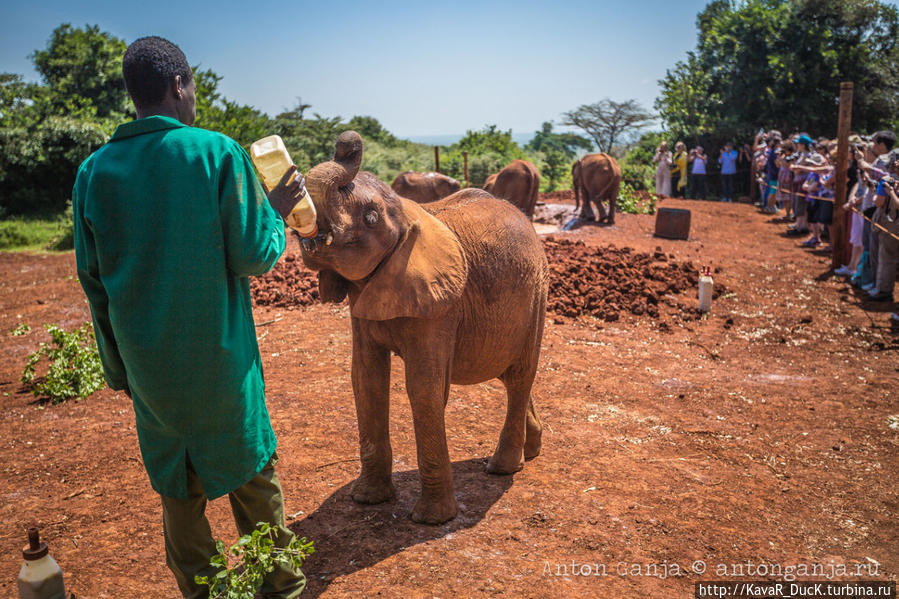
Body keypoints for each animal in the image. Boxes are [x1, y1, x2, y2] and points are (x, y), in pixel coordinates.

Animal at [300, 132, 548, 524]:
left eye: (370, 217)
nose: (347, 142)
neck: (406, 212)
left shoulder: (441, 308)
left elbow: (424, 387)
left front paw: (432, 520)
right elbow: (366, 378)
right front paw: (367, 500)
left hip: (536, 294)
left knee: (521, 374)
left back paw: (503, 467)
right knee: (508, 374)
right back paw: (532, 450)